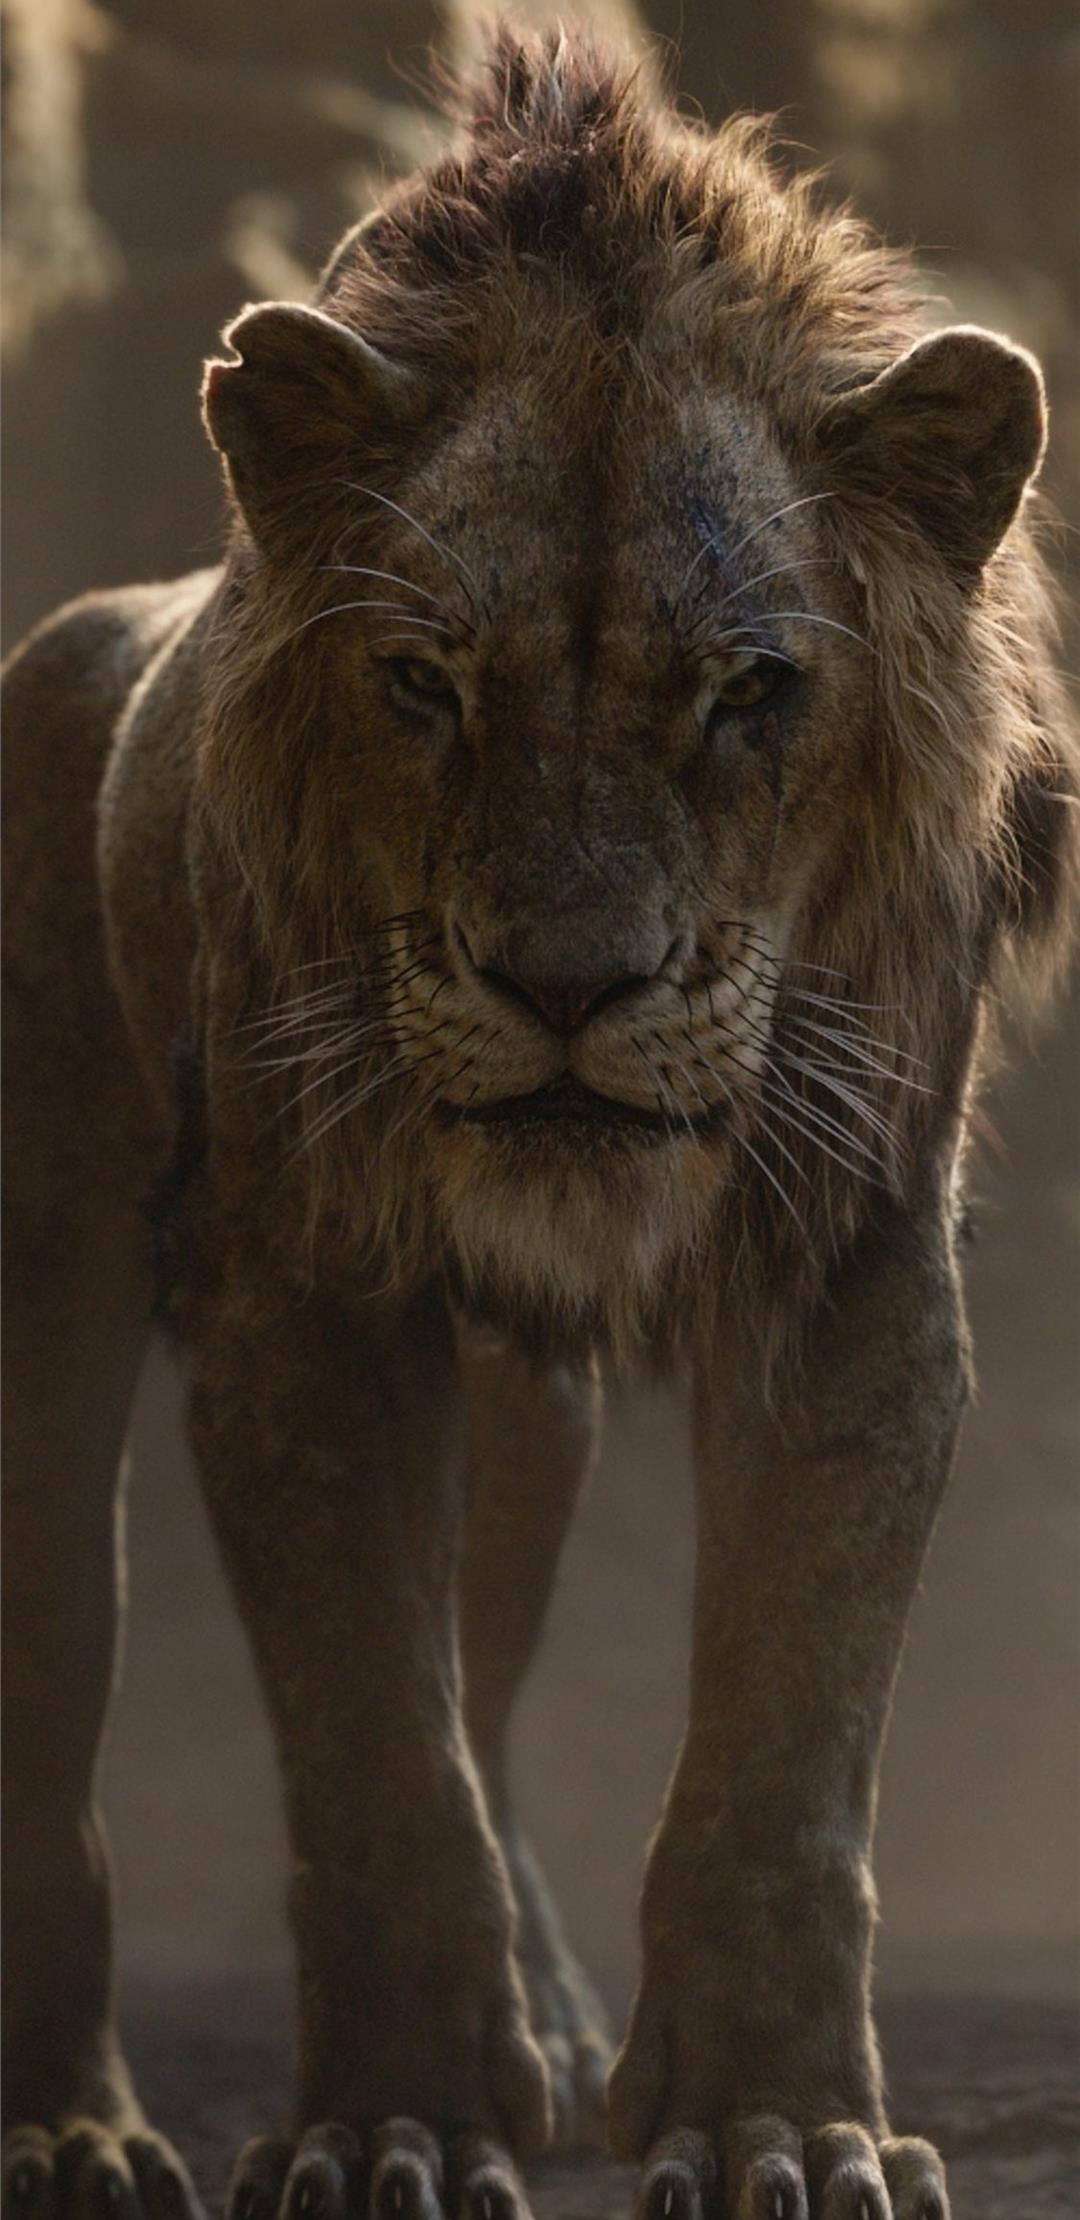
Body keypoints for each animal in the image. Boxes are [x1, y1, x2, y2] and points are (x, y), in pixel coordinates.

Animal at [3, 26, 1076, 2220]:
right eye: (424, 682)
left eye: (750, 692)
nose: (568, 987)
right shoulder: (305, 1296)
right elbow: (369, 1755)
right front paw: (392, 2124)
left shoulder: (851, 1263)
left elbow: (781, 1757)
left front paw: (771, 2123)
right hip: (45, 1291)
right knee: (61, 1695)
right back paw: (73, 2127)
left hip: (524, 1423)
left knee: (487, 1671)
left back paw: (560, 2031)